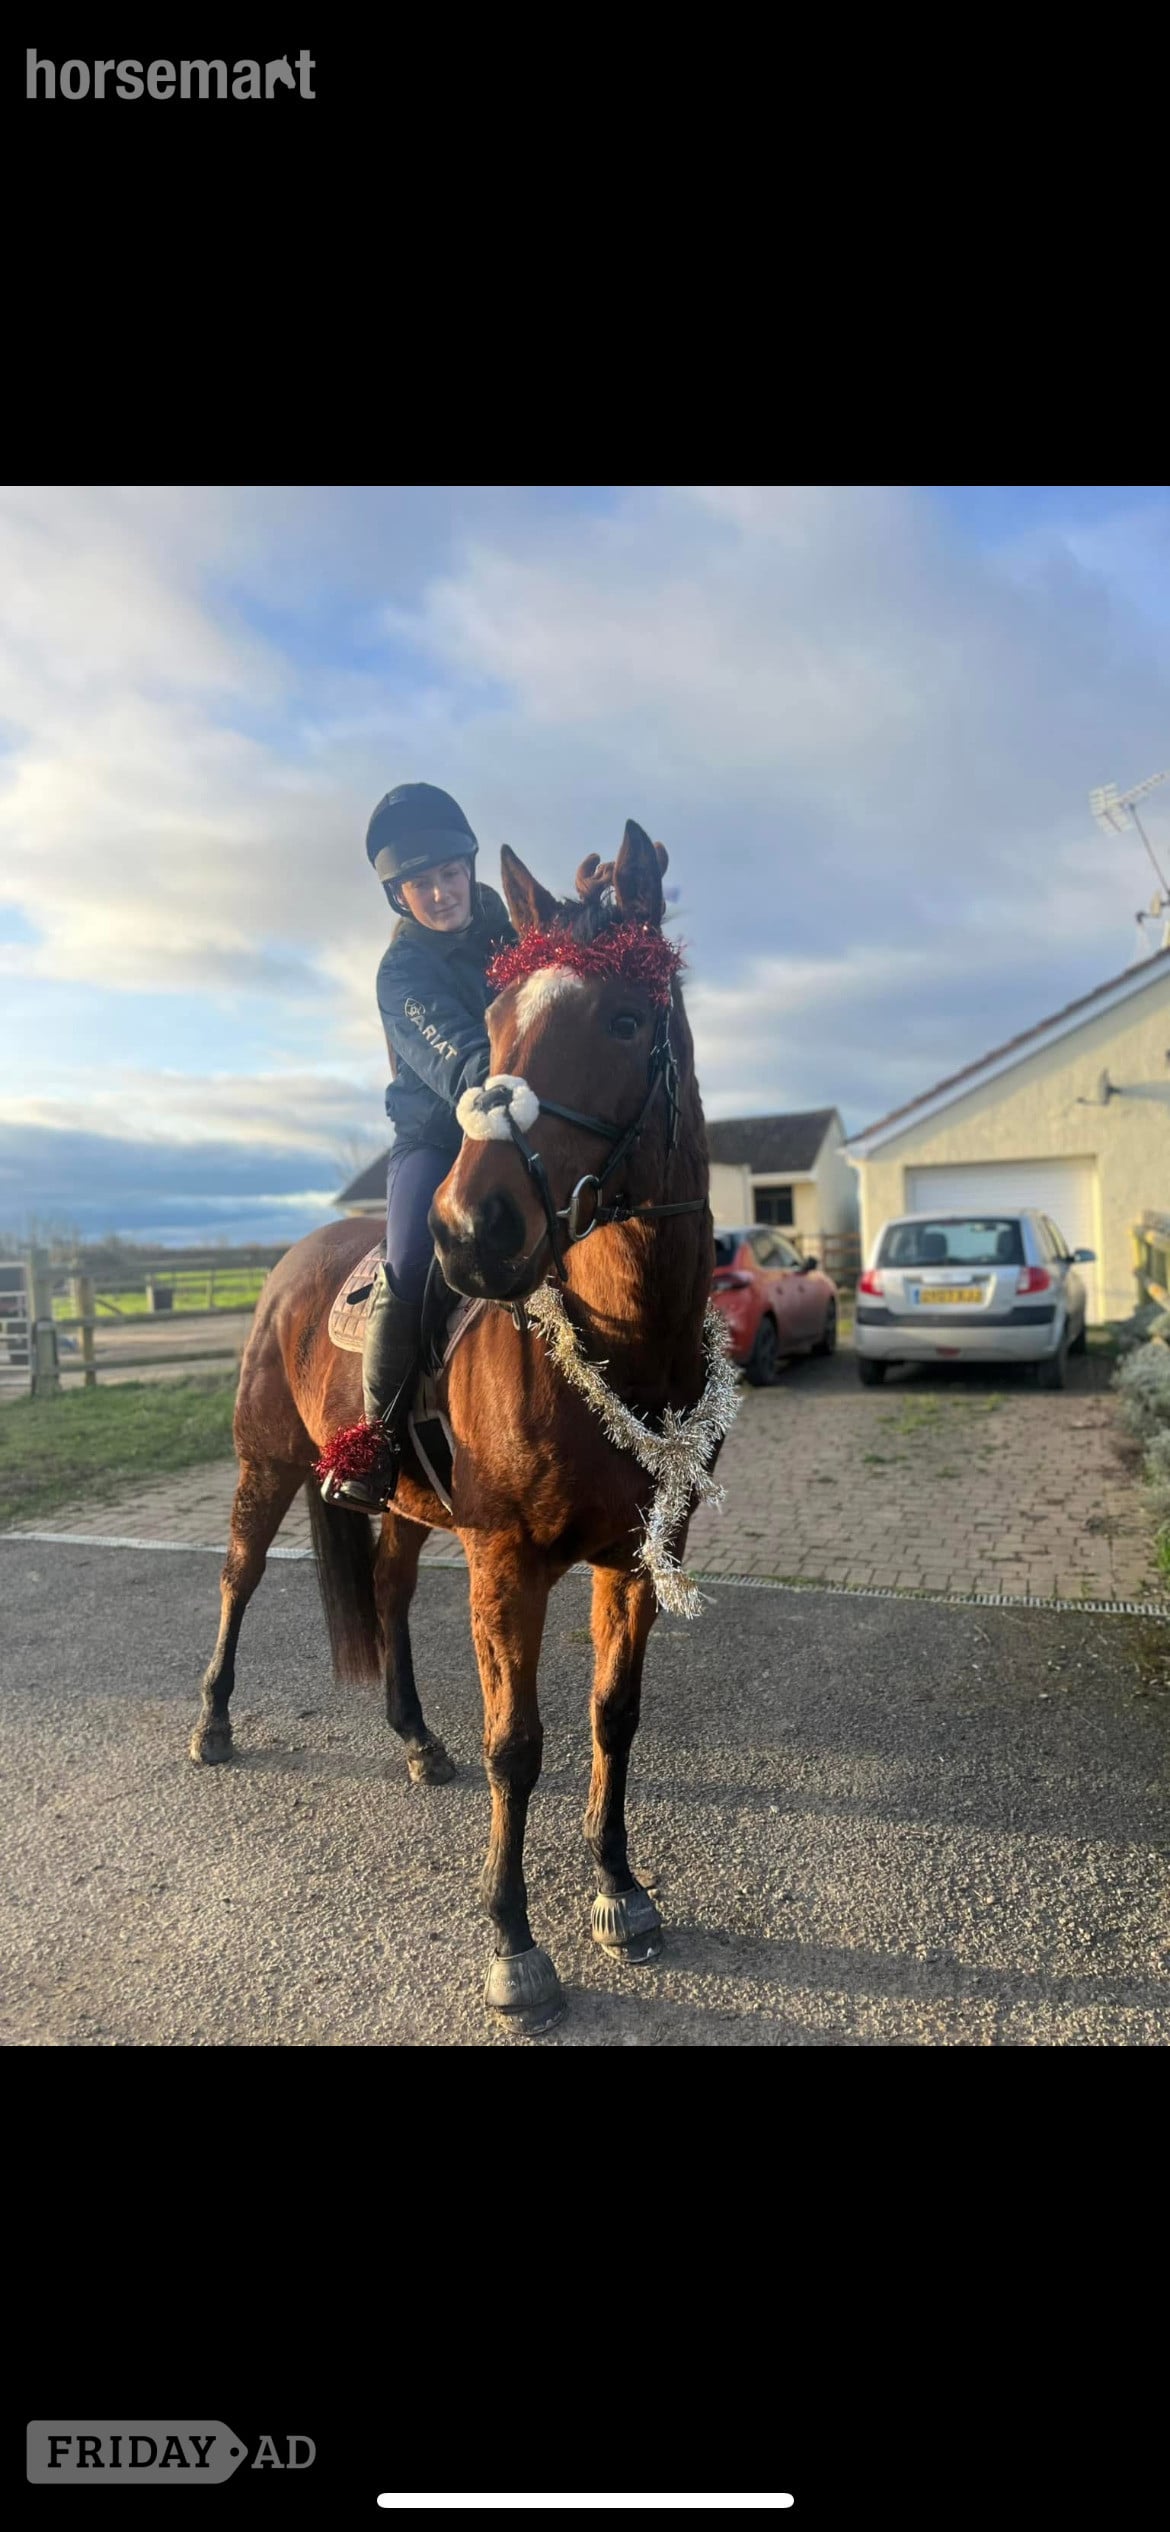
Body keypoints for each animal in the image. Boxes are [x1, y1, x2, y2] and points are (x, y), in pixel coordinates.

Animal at [190, 818, 728, 2026]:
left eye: (625, 1020)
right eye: (490, 1029)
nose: (470, 1233)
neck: (618, 1341)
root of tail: (294, 1259)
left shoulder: (637, 1556)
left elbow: (612, 1718)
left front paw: (620, 1890)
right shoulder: (507, 1562)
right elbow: (516, 1746)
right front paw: (514, 1946)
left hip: (400, 1502)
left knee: (387, 1589)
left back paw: (413, 1737)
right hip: (264, 1469)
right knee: (238, 1580)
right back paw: (211, 1724)